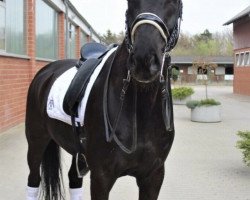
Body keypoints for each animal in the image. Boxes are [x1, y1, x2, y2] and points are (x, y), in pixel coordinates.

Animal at [24, 0, 182, 199]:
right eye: (130, 2)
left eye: (174, 3)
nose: (144, 61)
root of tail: (45, 73)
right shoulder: (102, 177)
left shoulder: (153, 176)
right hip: (36, 141)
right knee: (33, 179)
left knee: (73, 177)